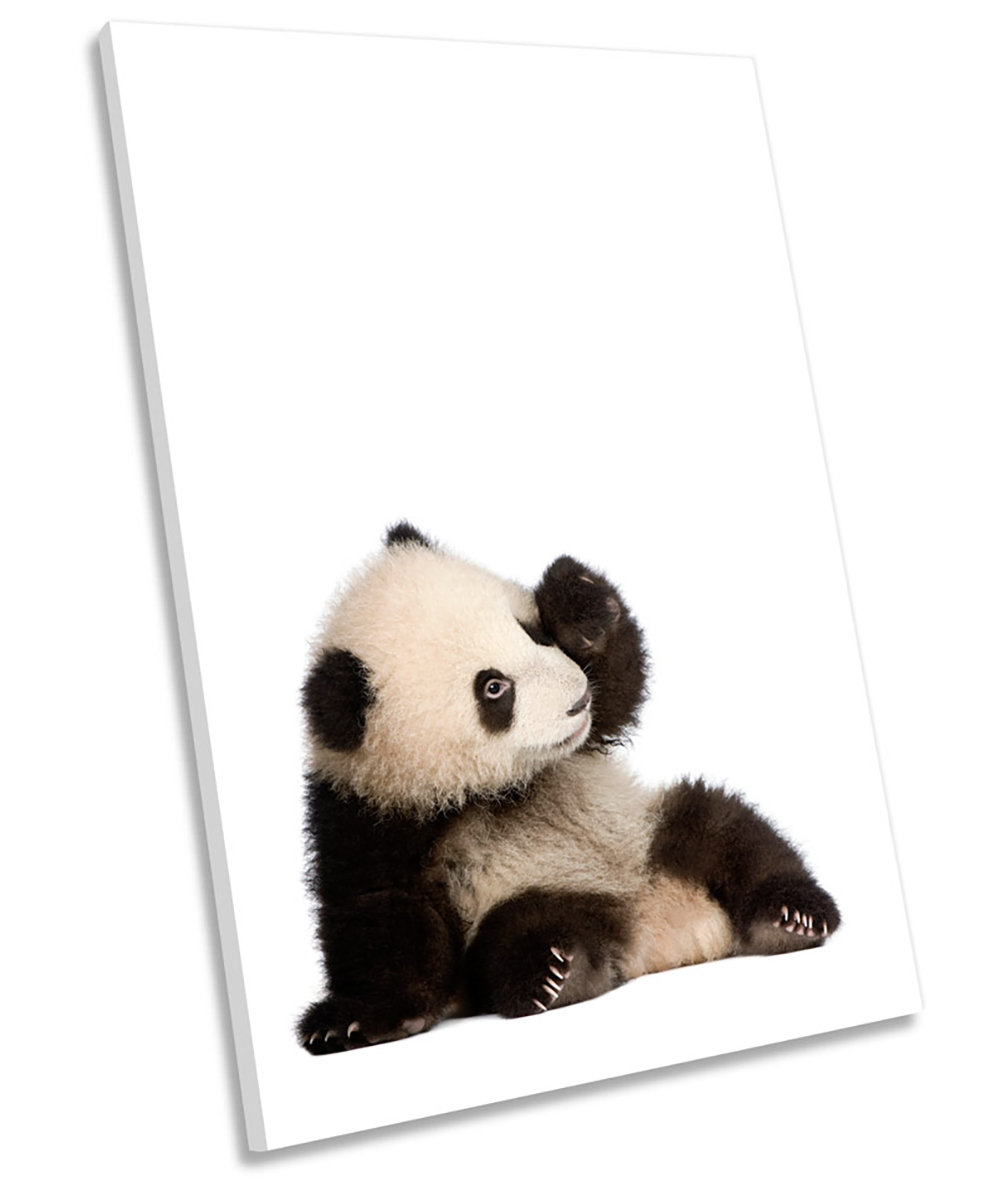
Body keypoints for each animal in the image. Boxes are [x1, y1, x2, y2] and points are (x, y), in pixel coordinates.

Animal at [297, 522, 840, 1053]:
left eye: (531, 631)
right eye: (493, 688)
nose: (576, 700)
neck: (494, 787)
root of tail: (663, 936)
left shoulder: (581, 745)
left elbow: (616, 688)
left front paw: (578, 599)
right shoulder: (367, 812)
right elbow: (382, 911)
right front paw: (353, 1021)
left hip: (648, 831)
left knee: (726, 831)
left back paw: (789, 915)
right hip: (550, 894)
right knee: (523, 933)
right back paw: (556, 974)